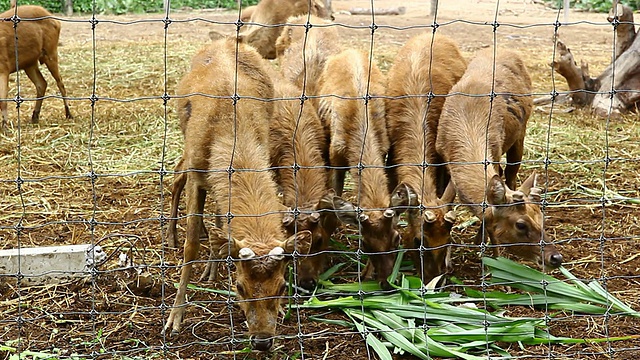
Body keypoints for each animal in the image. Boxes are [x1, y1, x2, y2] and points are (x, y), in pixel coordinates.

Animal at [164, 38, 312, 352]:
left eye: (283, 286)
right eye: (240, 286)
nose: (262, 340)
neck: (231, 132)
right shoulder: (197, 171)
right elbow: (191, 243)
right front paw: (175, 317)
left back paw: (211, 263)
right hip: (185, 146)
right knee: (177, 172)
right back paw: (170, 236)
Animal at [436, 47, 564, 270]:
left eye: (542, 218)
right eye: (520, 224)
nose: (555, 258)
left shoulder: (494, 153)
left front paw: (492, 258)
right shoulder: (443, 157)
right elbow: (448, 203)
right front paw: (448, 257)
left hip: (520, 135)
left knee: (511, 175)